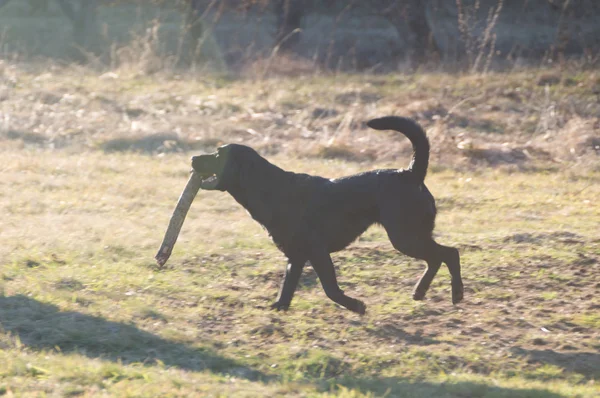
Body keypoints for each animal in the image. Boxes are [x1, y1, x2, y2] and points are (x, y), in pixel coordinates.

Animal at [192, 116, 464, 314]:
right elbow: (287, 286)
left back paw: (457, 294)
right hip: (411, 236)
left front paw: (356, 306)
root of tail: (410, 172)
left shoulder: (317, 251)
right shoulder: (296, 256)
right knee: (436, 258)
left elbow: (330, 288)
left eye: (217, 154)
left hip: (404, 236)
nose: (193, 157)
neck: (270, 189)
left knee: (449, 253)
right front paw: (279, 308)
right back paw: (420, 292)